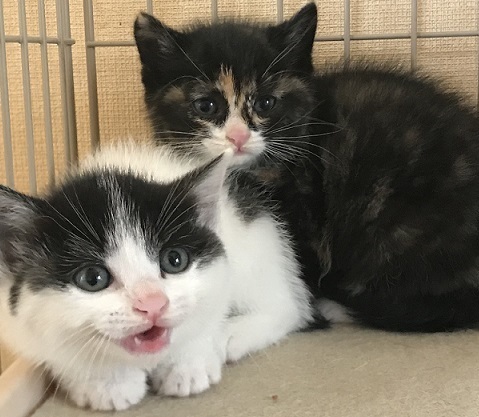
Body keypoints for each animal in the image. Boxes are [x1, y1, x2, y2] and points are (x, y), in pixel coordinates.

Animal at [0, 141, 312, 411]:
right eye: (92, 279)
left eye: (174, 261)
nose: (153, 304)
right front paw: (107, 382)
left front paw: (188, 364)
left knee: (288, 308)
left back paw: (231, 335)